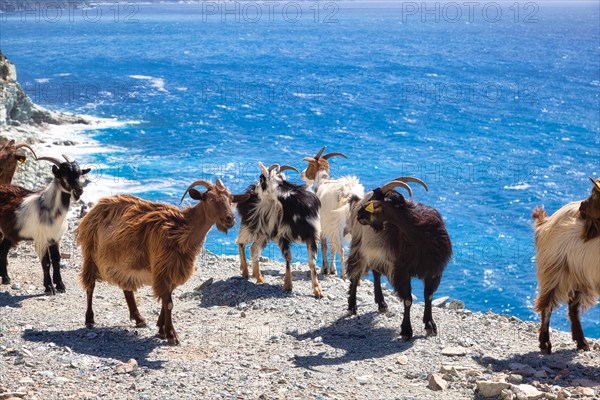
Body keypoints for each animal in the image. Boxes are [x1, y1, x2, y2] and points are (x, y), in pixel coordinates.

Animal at [0, 155, 90, 292]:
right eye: (64, 174)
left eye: (80, 173)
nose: (79, 191)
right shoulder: (41, 239)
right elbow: (46, 262)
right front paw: (49, 287)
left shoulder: (56, 239)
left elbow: (56, 260)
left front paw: (60, 285)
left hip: (9, 232)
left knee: (3, 249)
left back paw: (5, 278)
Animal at [238, 162, 324, 296]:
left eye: (261, 180)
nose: (255, 190)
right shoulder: (283, 235)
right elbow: (288, 258)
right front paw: (288, 285)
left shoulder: (312, 235)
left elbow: (312, 263)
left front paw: (317, 290)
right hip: (252, 224)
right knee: (241, 243)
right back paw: (245, 272)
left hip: (264, 232)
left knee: (253, 248)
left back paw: (258, 277)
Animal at [344, 178, 452, 340]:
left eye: (375, 203)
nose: (359, 214)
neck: (420, 235)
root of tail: (357, 200)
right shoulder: (402, 270)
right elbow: (407, 300)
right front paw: (406, 330)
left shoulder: (433, 270)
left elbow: (429, 296)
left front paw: (430, 325)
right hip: (359, 246)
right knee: (355, 274)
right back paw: (352, 306)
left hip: (376, 253)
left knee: (376, 272)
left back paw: (381, 304)